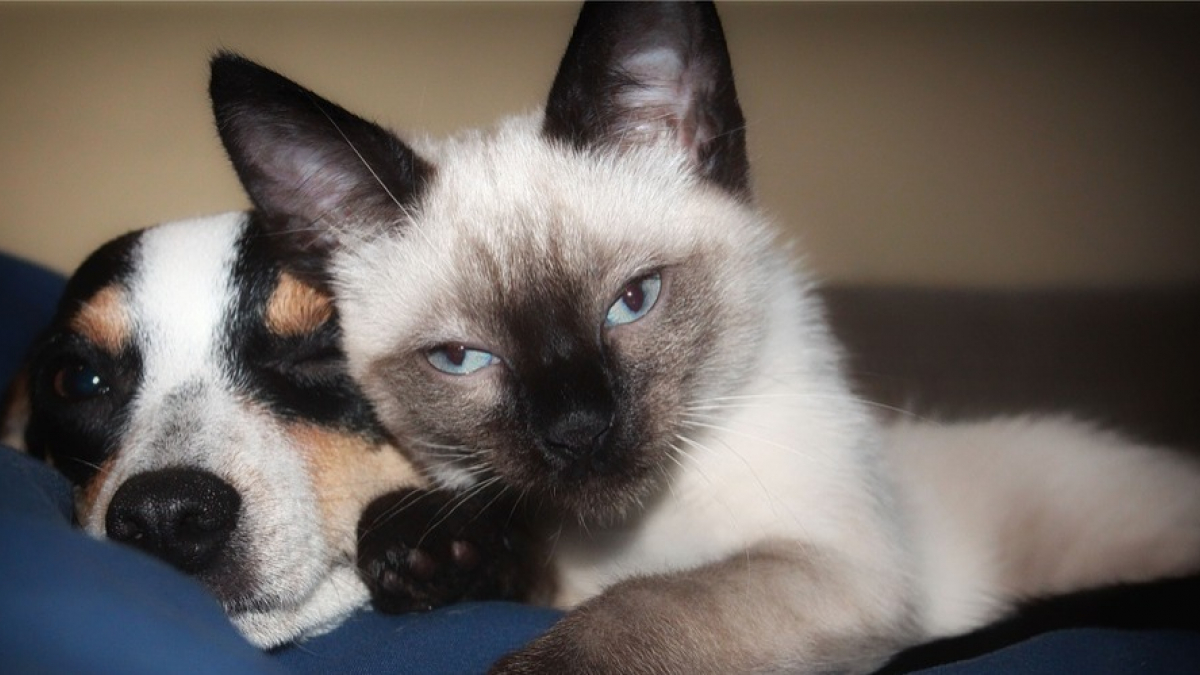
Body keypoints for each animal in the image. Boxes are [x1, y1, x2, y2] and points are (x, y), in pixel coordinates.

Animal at [211, 2, 1200, 667]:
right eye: (461, 359)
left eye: (634, 300)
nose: (578, 431)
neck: (632, 530)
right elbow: (486, 536)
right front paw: (421, 549)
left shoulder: (834, 569)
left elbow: (643, 608)